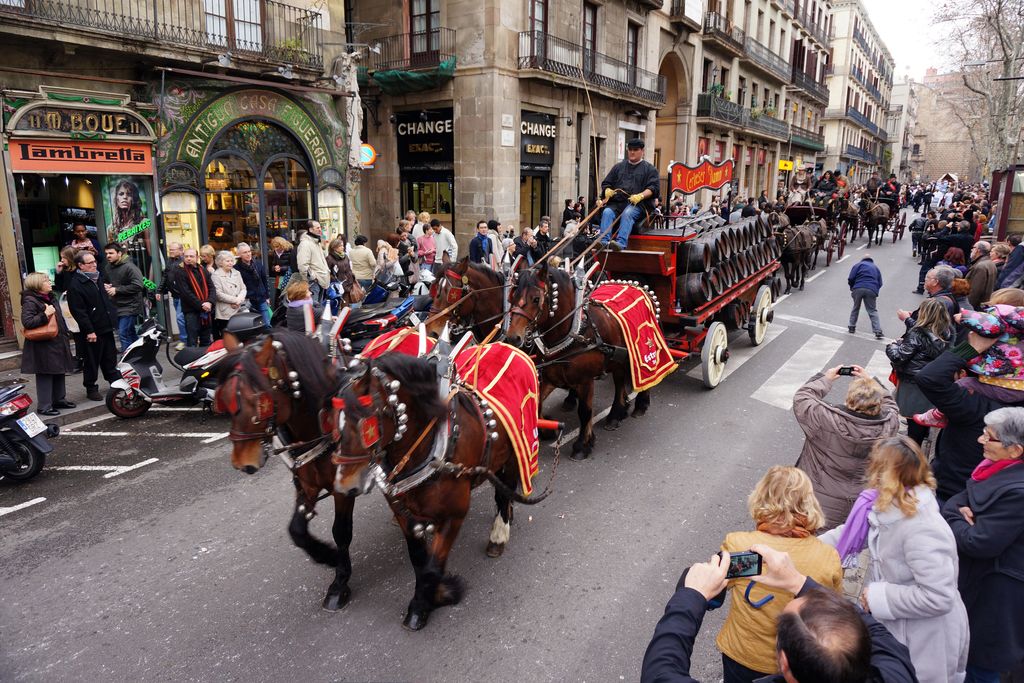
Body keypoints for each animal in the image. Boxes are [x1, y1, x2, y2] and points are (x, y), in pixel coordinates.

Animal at [211, 331, 356, 614]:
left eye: (258, 403)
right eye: (223, 400)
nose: (241, 463)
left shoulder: (344, 489)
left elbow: (341, 532)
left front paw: (340, 582)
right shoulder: (307, 485)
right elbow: (296, 530)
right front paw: (327, 556)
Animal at [329, 352, 540, 630]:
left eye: (365, 423)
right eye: (333, 421)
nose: (344, 486)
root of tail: (513, 349)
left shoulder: (454, 514)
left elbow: (433, 567)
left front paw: (430, 600)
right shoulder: (403, 513)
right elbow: (420, 560)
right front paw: (431, 594)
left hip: (517, 451)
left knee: (505, 492)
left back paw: (499, 534)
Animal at [505, 262, 655, 458]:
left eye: (536, 299)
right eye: (512, 297)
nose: (513, 337)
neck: (574, 335)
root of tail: (635, 285)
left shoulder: (585, 381)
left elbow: (585, 412)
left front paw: (582, 445)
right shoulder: (550, 378)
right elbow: (536, 406)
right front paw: (547, 430)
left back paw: (637, 406)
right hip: (618, 359)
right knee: (620, 380)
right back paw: (619, 412)